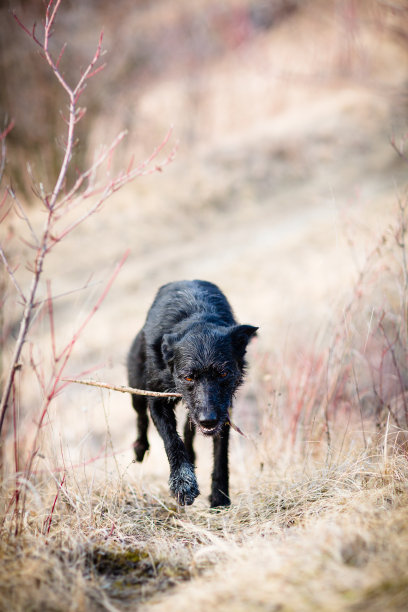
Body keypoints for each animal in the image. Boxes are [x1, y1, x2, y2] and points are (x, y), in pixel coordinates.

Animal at [126, 280, 258, 506]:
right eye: (188, 377)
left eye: (223, 373)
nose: (208, 420)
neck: (197, 318)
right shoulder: (157, 400)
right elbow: (171, 439)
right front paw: (182, 482)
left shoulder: (223, 410)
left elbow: (221, 453)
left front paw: (219, 497)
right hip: (136, 387)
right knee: (141, 417)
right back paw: (140, 447)